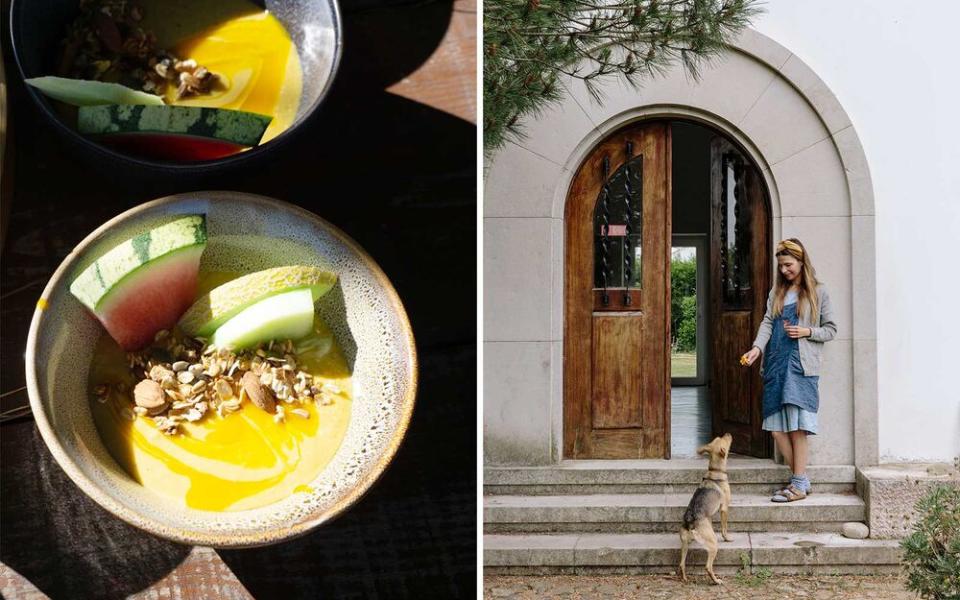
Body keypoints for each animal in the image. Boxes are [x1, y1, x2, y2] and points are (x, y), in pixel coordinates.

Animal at [680, 434, 732, 584]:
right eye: (725, 440)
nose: (728, 434)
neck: (715, 472)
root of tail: (690, 521)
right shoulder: (724, 508)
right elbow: (724, 528)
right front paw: (727, 538)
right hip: (713, 544)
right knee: (708, 567)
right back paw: (716, 581)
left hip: (685, 544)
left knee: (681, 564)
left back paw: (685, 578)